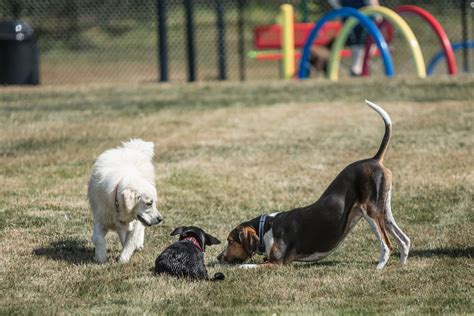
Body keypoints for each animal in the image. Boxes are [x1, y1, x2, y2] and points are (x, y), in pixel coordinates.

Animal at [217, 100, 410, 270]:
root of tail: (375, 159)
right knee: (404, 240)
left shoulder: (277, 264)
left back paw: (378, 268)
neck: (266, 227)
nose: (219, 257)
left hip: (371, 212)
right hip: (384, 212)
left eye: (230, 241)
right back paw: (400, 266)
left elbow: (245, 265)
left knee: (387, 245)